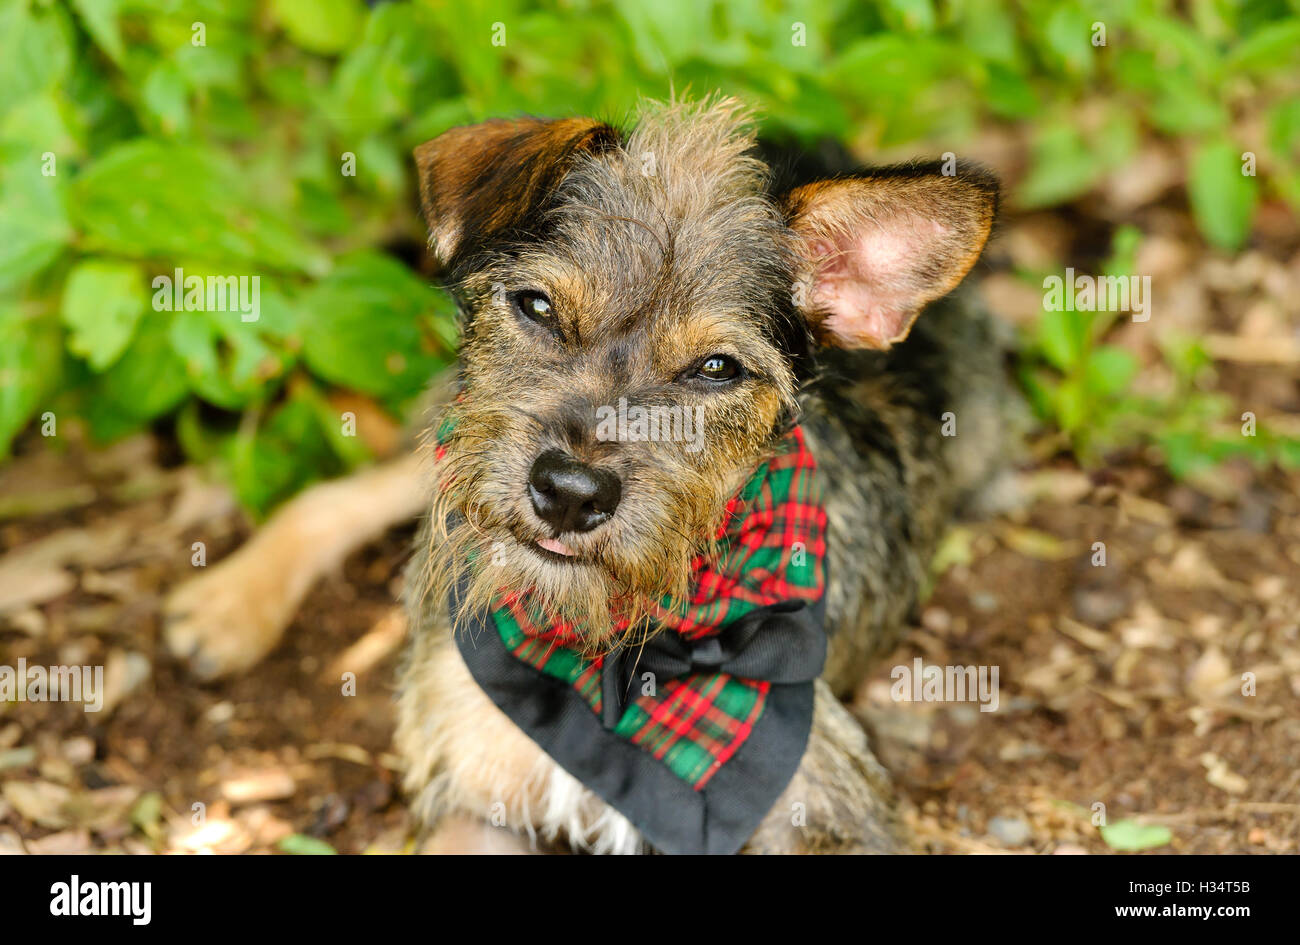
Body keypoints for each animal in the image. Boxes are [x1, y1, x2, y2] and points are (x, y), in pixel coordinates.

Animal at [165, 98, 1013, 857]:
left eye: (717, 369)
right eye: (537, 306)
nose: (570, 493)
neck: (614, 650)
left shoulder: (826, 803)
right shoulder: (476, 796)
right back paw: (226, 605)